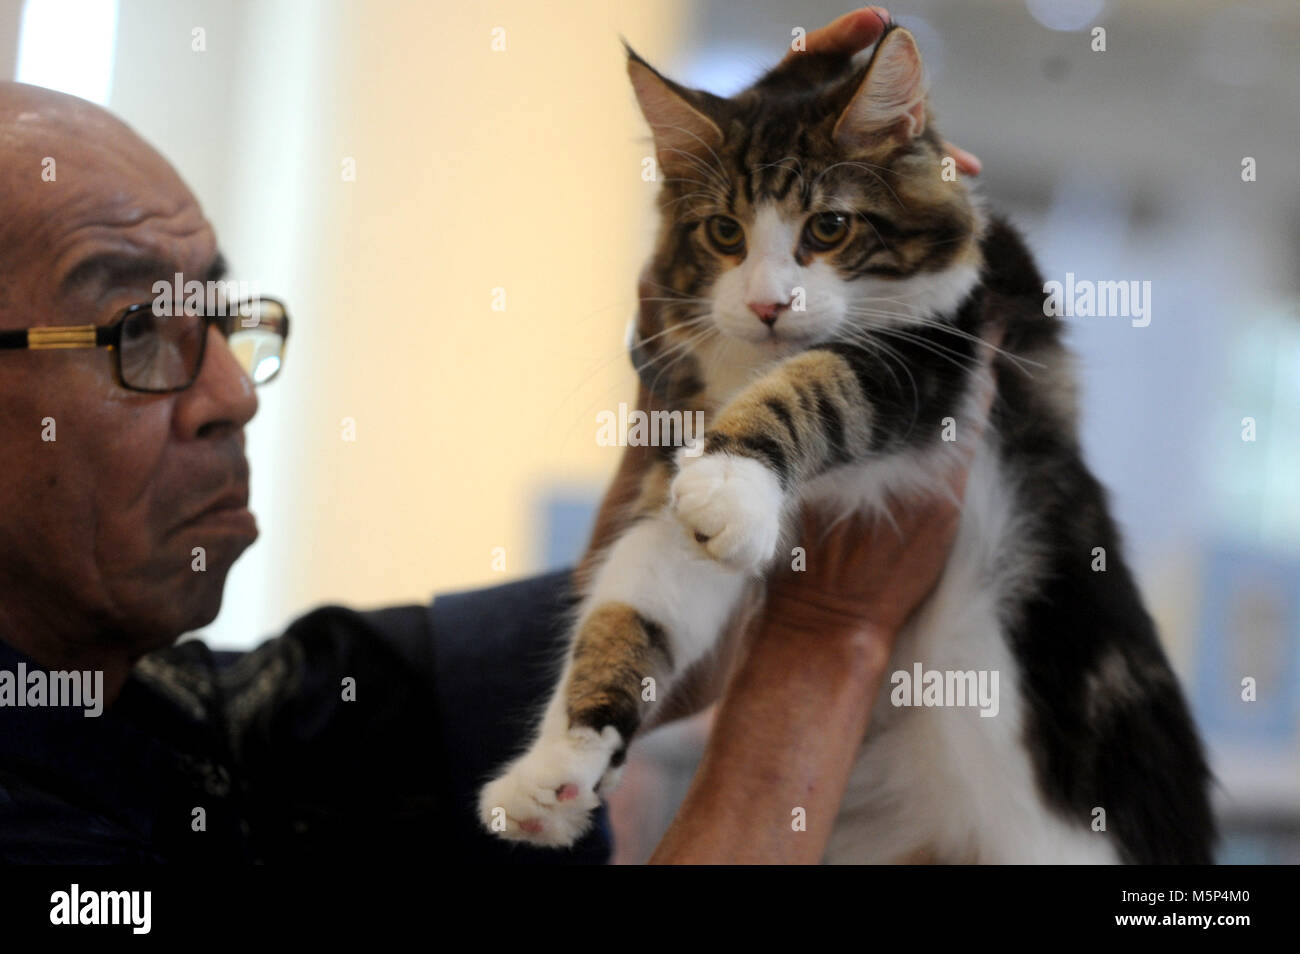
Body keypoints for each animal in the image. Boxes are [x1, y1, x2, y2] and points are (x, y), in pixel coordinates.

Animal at [473, 24, 1211, 868]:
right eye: (724, 233)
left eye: (829, 227)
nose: (768, 306)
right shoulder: (670, 477)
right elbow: (625, 619)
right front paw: (551, 778)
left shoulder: (935, 355)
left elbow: (815, 383)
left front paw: (732, 482)